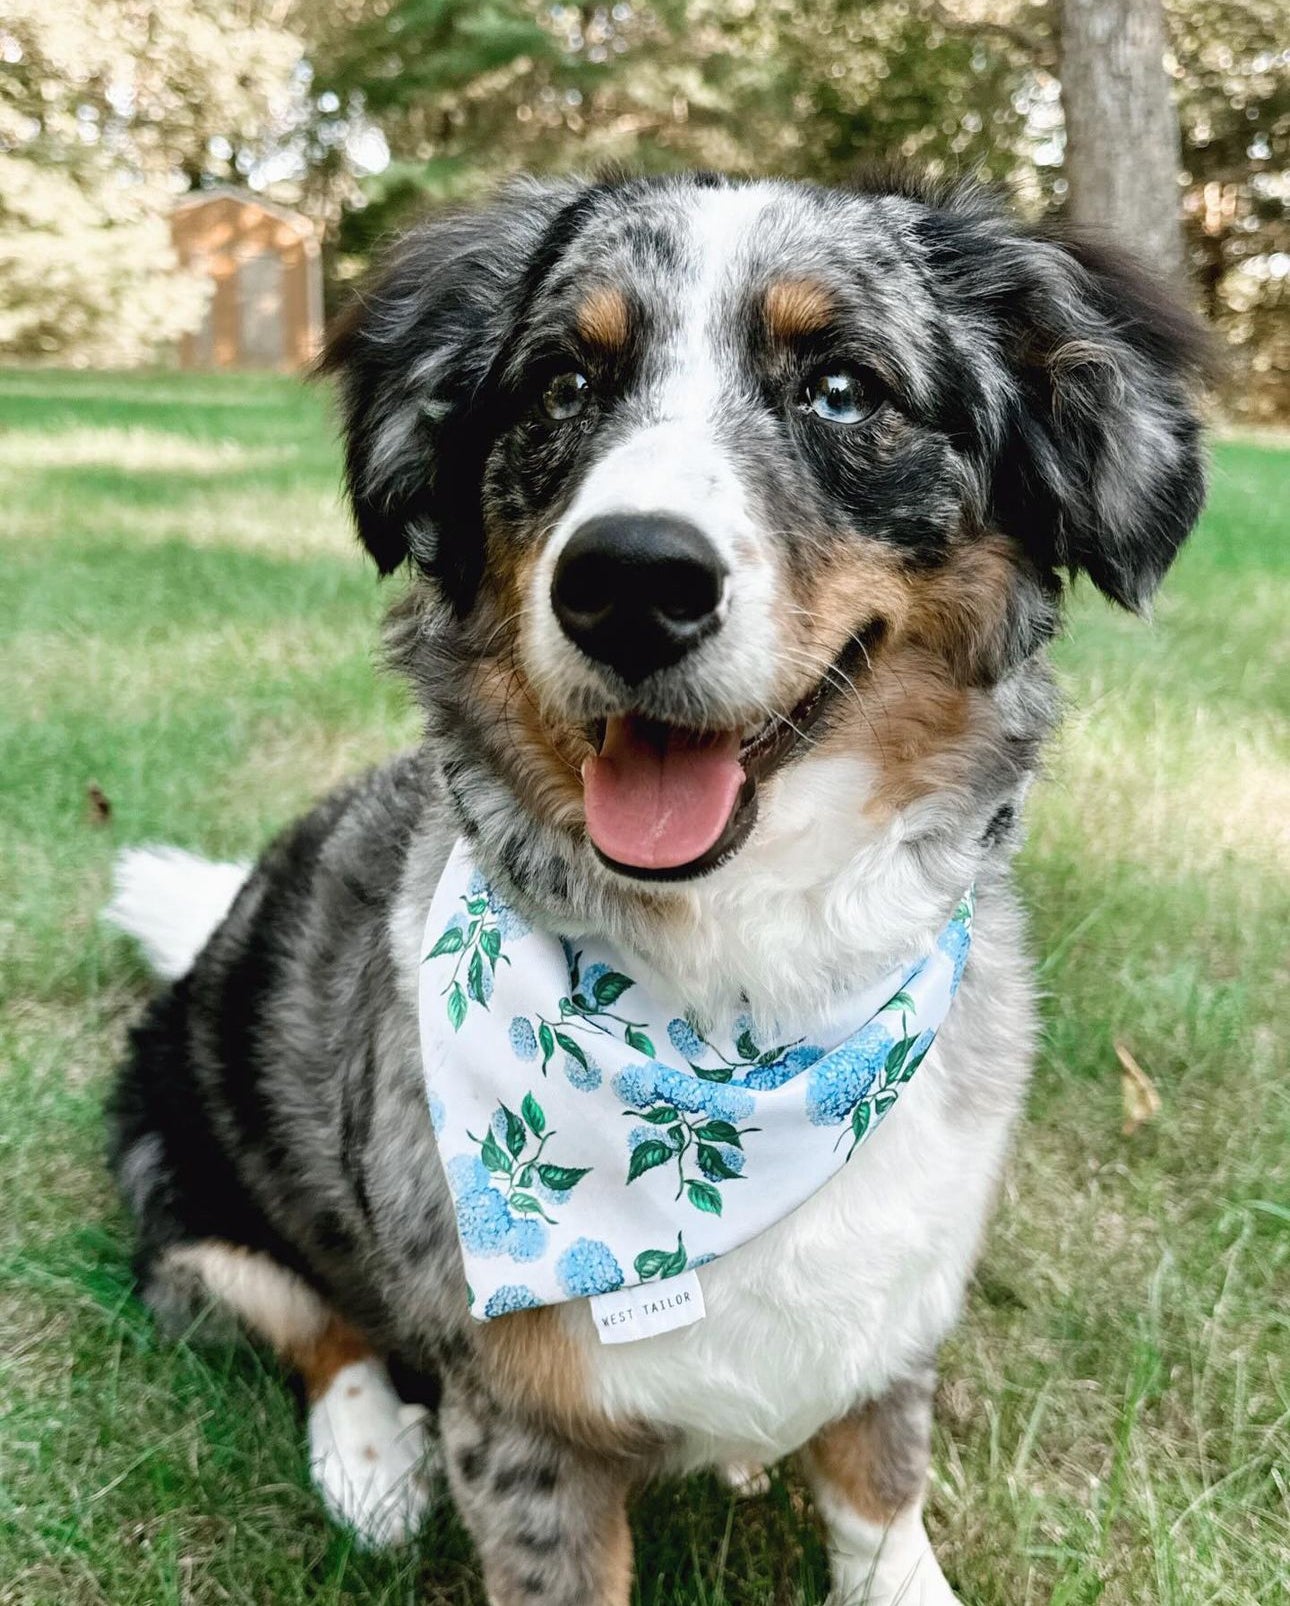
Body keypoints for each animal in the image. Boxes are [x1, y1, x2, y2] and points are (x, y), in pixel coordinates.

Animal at [106, 166, 1208, 1606]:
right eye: (562, 384)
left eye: (842, 389)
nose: (629, 579)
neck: (741, 1005)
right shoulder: (520, 1429)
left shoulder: (893, 1318)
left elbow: (880, 1491)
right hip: (188, 1189)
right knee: (311, 1317)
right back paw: (369, 1453)